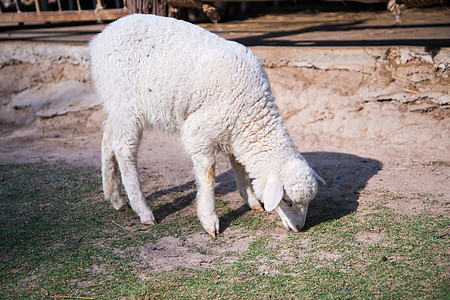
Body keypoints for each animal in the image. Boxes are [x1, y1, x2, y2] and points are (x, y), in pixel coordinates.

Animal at [89, 14, 326, 237]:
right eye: (287, 201)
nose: (299, 228)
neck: (251, 111)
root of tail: (98, 39)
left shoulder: (233, 129)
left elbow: (238, 163)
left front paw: (251, 200)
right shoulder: (199, 130)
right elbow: (208, 173)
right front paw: (209, 220)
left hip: (116, 104)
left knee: (108, 138)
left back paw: (115, 198)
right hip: (127, 104)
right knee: (124, 149)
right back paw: (143, 211)